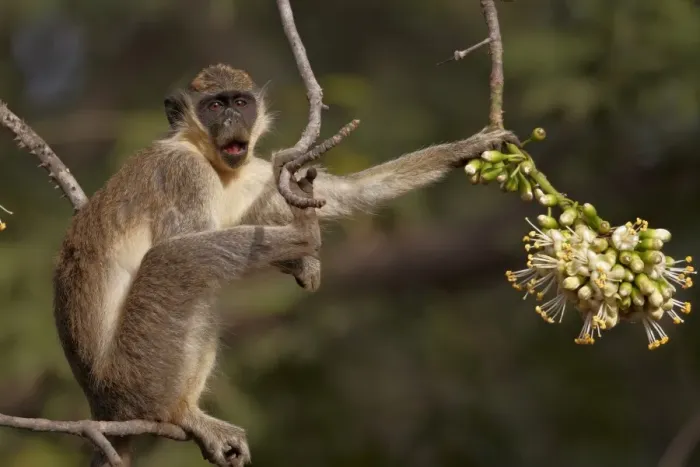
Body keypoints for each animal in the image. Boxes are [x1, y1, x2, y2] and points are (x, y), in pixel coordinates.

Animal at [52, 63, 517, 467]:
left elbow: (342, 193)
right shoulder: (182, 173)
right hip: (134, 375)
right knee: (176, 264)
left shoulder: (255, 172)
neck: (207, 157)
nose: (232, 121)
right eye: (214, 106)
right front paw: (298, 251)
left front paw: (465, 149)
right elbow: (183, 241)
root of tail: (101, 403)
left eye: (240, 102)